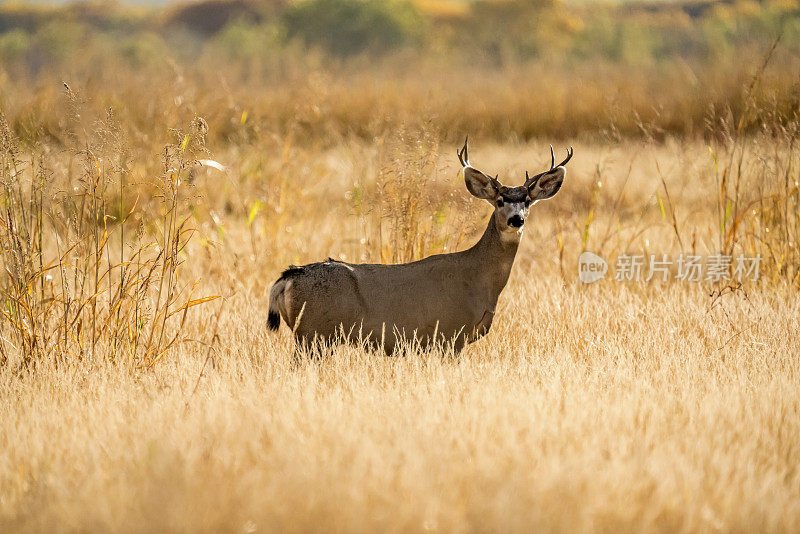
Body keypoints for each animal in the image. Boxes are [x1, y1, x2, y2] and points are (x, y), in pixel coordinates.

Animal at [266, 138, 572, 356]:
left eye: (528, 201)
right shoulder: (450, 333)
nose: (516, 219)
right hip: (313, 334)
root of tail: (289, 277)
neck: (479, 278)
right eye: (499, 201)